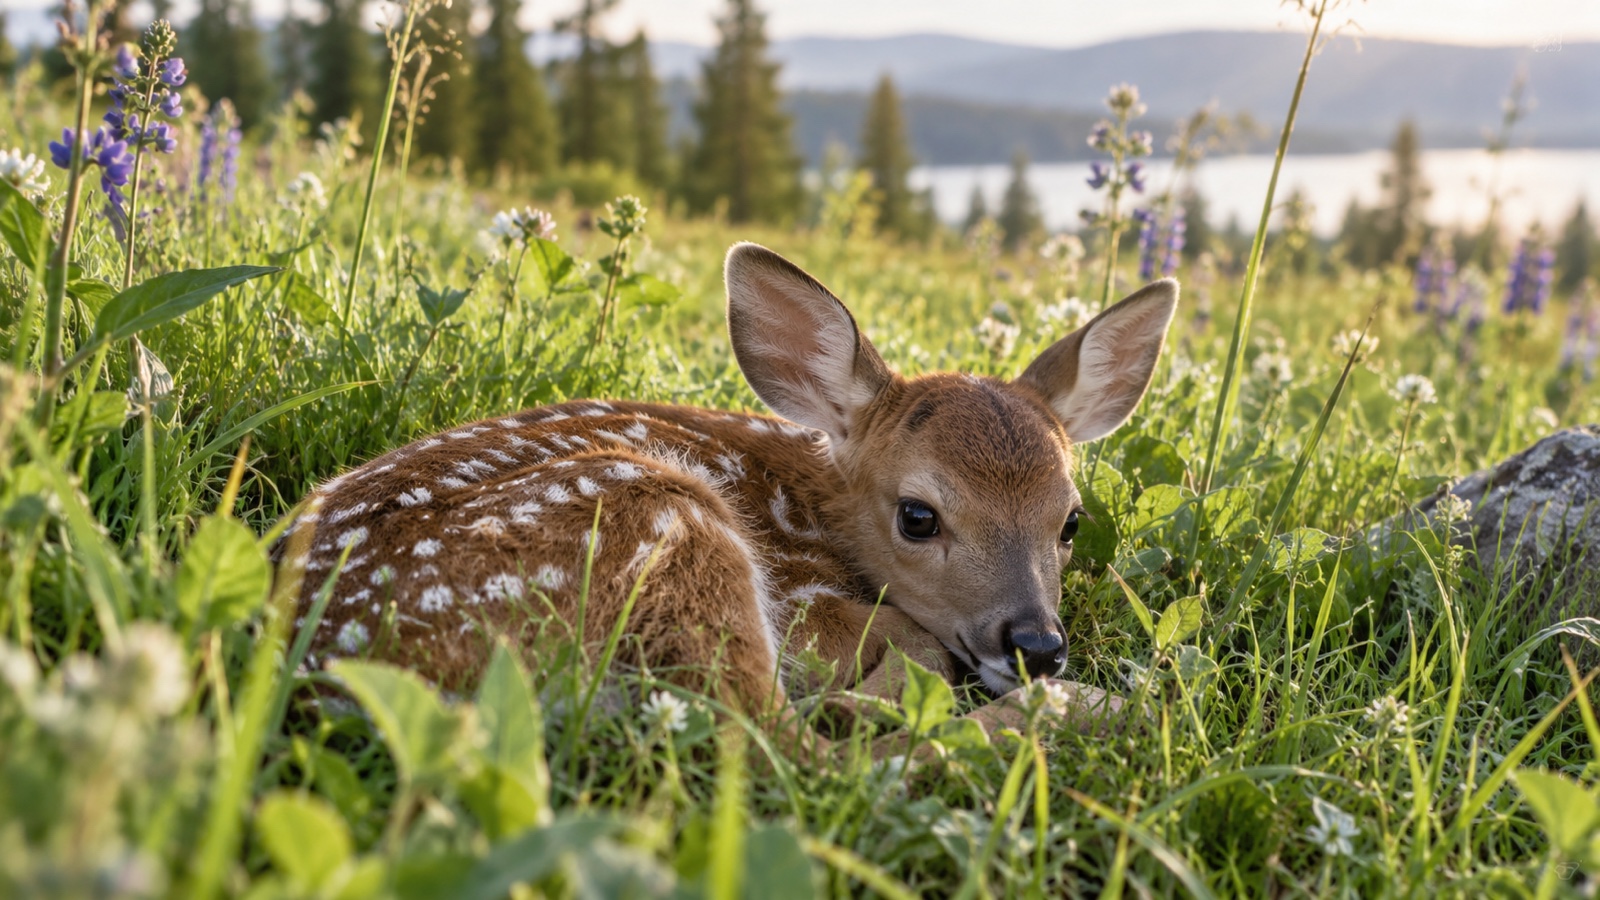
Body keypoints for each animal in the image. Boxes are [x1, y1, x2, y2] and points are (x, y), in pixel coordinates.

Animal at [277, 243, 1177, 745]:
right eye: (919, 517)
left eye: (1071, 521)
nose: (1036, 644)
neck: (817, 506)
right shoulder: (800, 590)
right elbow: (902, 639)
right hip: (660, 516)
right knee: (795, 754)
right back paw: (1085, 705)